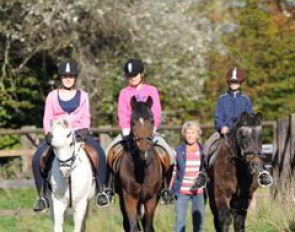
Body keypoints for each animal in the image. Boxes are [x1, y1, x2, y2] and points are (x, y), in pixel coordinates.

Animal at [115, 95, 164, 232]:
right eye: (132, 122)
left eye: (152, 121)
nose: (144, 153)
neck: (141, 168)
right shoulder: (129, 198)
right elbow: (133, 227)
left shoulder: (151, 198)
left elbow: (148, 226)